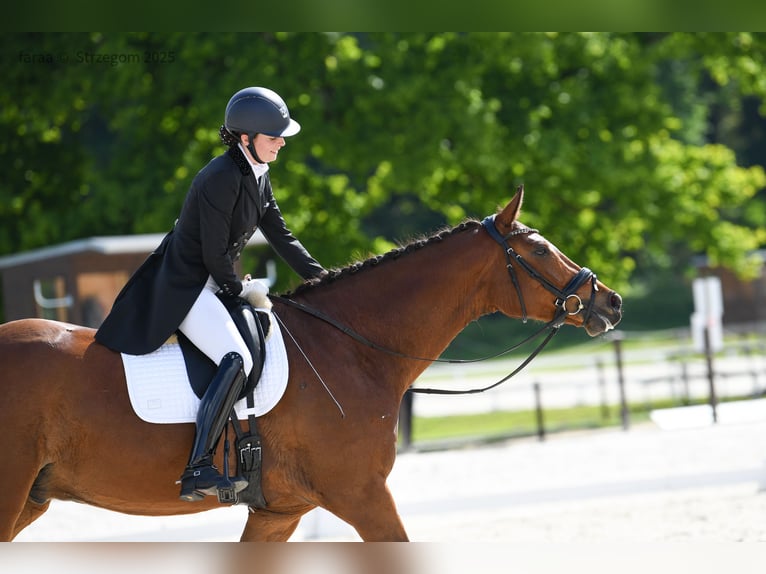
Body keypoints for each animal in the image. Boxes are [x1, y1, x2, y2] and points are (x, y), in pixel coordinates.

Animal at [0, 187, 622, 541]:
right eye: (538, 249)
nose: (609, 302)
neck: (351, 347)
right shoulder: (362, 496)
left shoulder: (279, 512)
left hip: (30, 499)